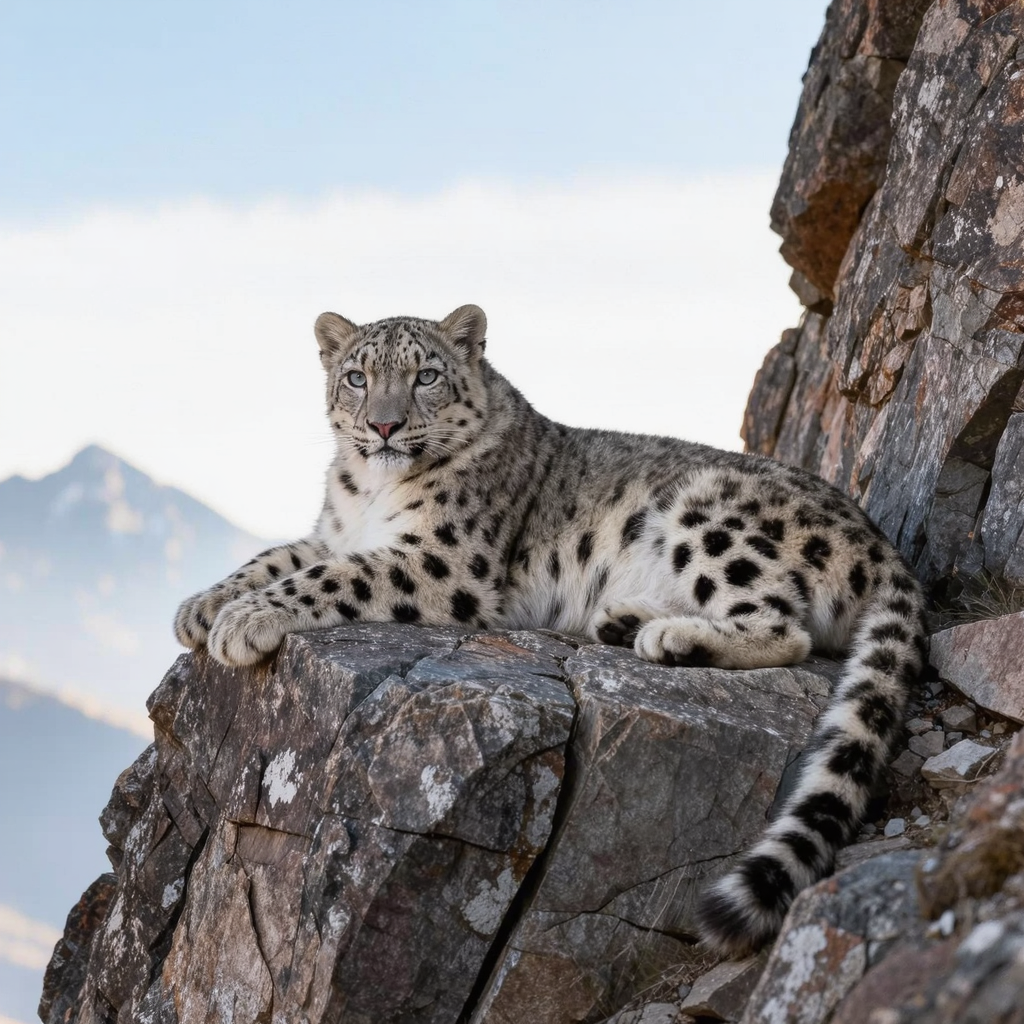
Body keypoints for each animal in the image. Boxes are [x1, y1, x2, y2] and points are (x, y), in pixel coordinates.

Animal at [174, 304, 926, 957]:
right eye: (358, 376)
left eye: (426, 375)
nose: (384, 427)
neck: (369, 493)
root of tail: (883, 544)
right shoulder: (331, 532)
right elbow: (277, 557)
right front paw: (202, 607)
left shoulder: (443, 560)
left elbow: (330, 577)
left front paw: (244, 621)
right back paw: (625, 619)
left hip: (711, 517)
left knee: (784, 626)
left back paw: (668, 638)